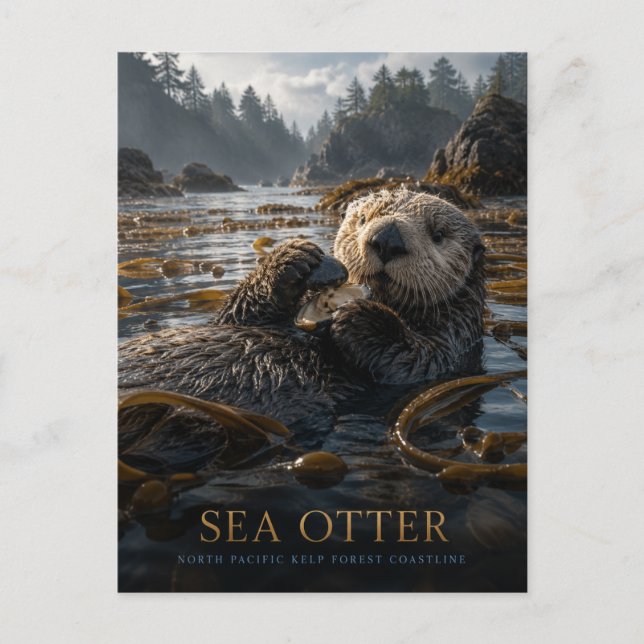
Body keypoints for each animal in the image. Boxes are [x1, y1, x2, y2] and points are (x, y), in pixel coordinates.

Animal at [119, 189, 486, 426]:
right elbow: (230, 319)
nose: (387, 238)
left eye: (438, 234)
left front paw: (359, 317)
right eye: (363, 218)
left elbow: (417, 361)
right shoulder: (235, 319)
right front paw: (293, 258)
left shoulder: (455, 342)